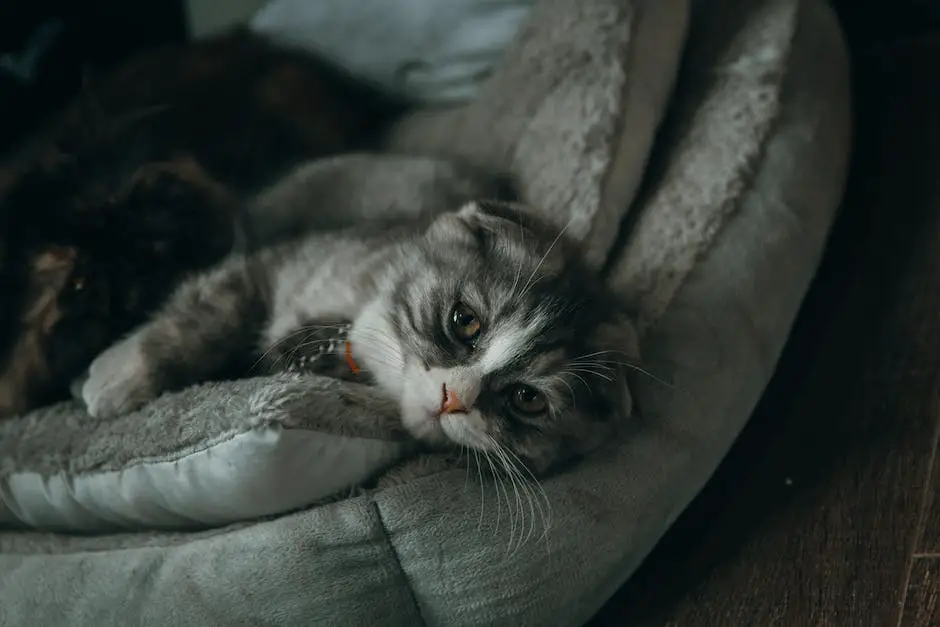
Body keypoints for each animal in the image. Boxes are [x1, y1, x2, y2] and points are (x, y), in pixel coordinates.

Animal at [79, 201, 640, 476]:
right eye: (465, 321)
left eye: (527, 399)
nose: (453, 398)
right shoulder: (272, 268)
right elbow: (204, 319)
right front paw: (120, 377)